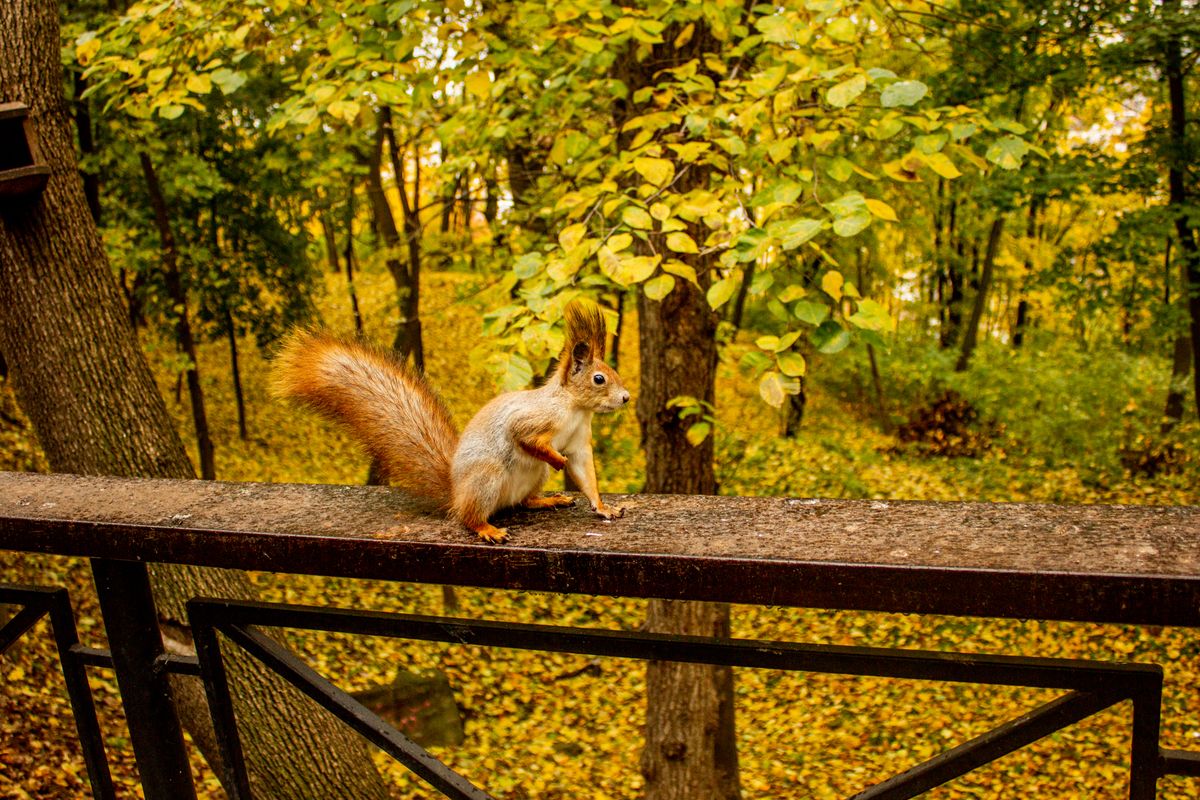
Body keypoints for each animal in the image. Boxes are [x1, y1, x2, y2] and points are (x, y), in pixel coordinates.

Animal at [271, 299, 630, 543]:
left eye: (613, 372)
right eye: (599, 379)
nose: (626, 397)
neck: (575, 408)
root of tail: (455, 493)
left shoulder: (579, 441)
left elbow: (585, 473)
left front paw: (603, 507)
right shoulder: (533, 418)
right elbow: (526, 438)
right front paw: (556, 459)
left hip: (528, 479)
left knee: (524, 501)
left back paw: (546, 500)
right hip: (486, 477)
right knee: (468, 517)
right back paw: (487, 528)